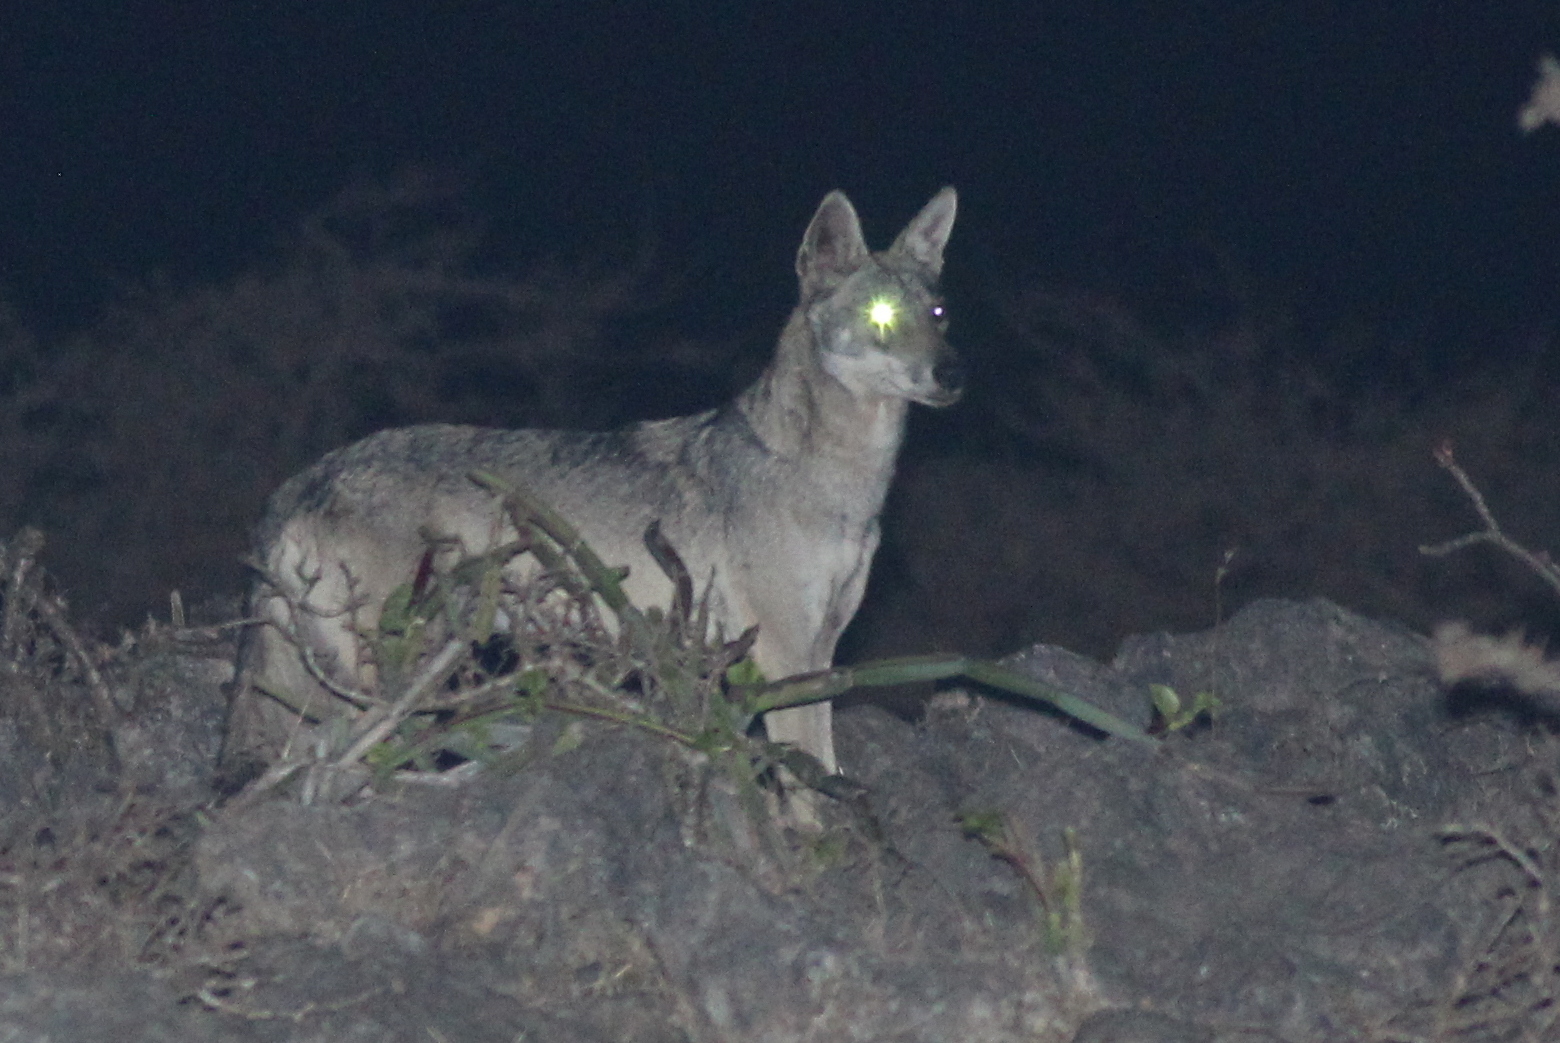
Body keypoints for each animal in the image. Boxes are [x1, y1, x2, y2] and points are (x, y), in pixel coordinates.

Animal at [220, 187, 963, 790]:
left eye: (937, 312)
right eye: (882, 316)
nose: (952, 374)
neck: (838, 482)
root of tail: (299, 481)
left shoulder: (823, 650)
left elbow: (826, 760)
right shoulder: (782, 653)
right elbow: (812, 779)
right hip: (385, 673)